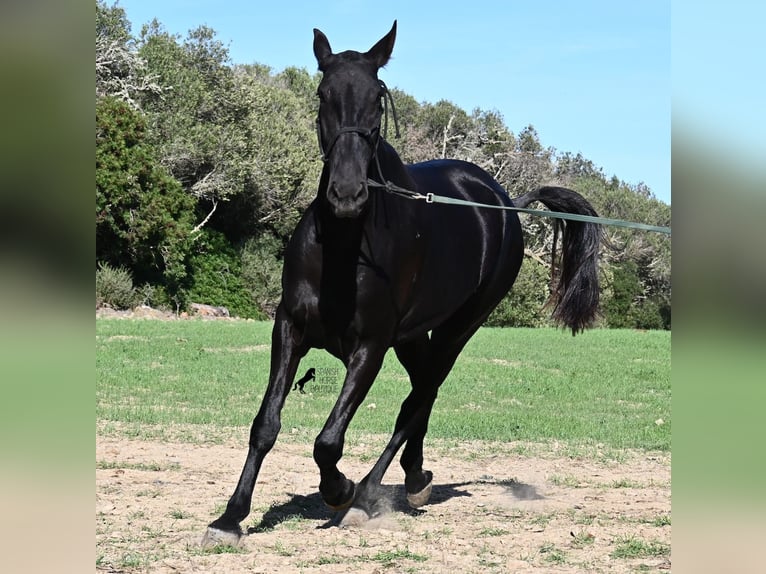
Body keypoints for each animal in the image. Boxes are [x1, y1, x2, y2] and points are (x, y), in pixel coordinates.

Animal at [204, 20, 601, 545]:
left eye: (378, 97)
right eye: (323, 93)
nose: (347, 194)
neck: (346, 249)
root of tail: (504, 203)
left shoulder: (369, 346)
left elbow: (328, 441)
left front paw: (341, 490)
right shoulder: (289, 328)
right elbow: (266, 424)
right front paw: (230, 518)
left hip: (459, 327)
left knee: (419, 398)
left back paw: (369, 493)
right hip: (413, 336)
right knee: (421, 393)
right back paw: (415, 477)